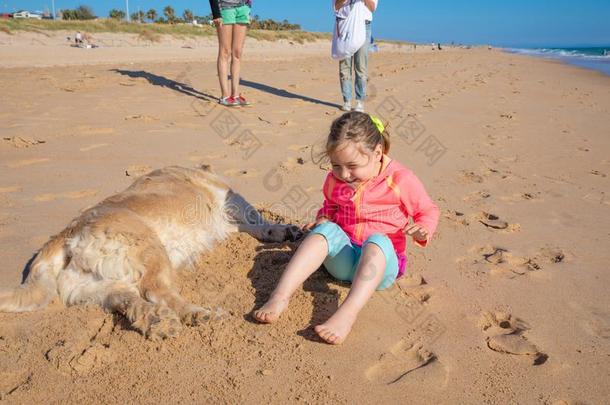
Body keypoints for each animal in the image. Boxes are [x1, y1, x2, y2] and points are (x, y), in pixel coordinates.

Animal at [0, 164, 300, 338]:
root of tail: (68, 235)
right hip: (152, 250)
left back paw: (160, 323)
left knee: (130, 301)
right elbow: (257, 219)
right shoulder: (230, 198)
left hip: (96, 288)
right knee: (157, 292)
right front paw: (283, 230)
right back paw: (200, 314)